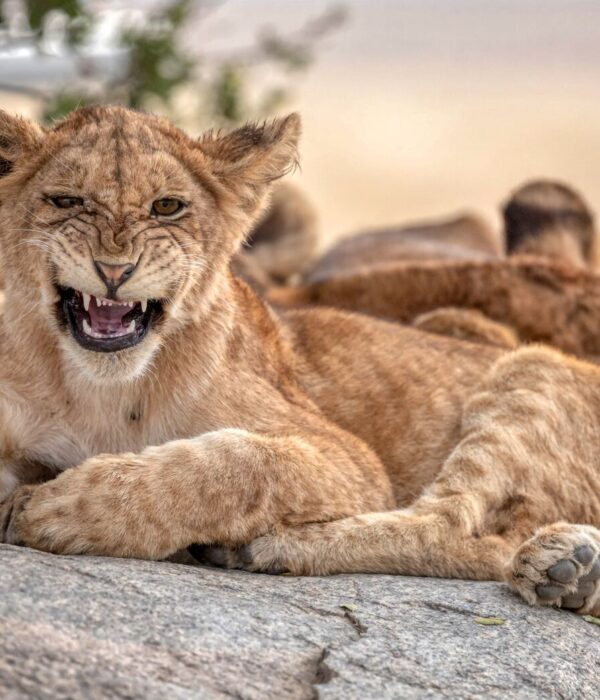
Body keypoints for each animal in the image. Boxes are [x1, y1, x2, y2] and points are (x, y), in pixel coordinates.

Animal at [0, 106, 599, 619]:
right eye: (66, 202)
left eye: (166, 207)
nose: (113, 270)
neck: (99, 388)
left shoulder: (351, 461)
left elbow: (240, 463)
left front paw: (60, 509)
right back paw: (571, 572)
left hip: (530, 368)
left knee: (454, 527)